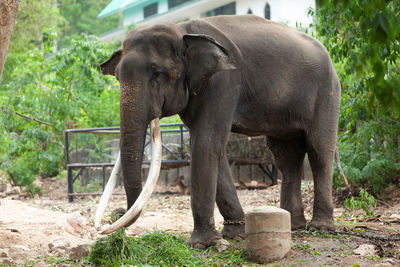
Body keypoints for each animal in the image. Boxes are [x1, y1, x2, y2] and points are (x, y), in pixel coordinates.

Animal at [94, 14, 340, 249]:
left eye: (158, 73)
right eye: (118, 77)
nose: (114, 214)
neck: (182, 29)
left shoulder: (224, 81)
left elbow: (206, 143)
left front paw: (202, 244)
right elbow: (214, 149)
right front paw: (234, 234)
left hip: (327, 91)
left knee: (319, 151)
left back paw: (321, 228)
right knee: (286, 158)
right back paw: (295, 225)